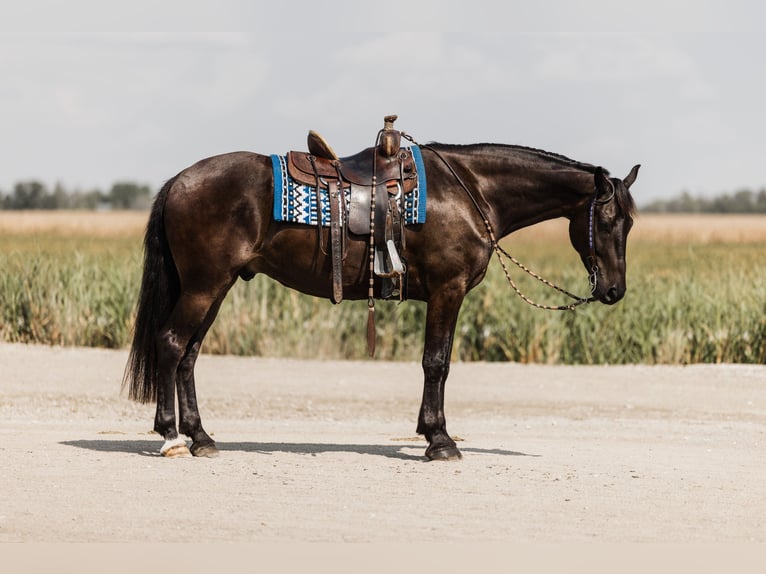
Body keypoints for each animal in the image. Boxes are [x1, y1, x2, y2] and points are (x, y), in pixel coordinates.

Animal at [123, 137, 639, 461]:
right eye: (608, 220)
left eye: (629, 223)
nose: (614, 290)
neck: (470, 191)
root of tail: (179, 181)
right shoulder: (448, 291)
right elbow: (437, 363)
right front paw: (440, 440)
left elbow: (437, 363)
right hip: (204, 285)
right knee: (171, 344)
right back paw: (171, 437)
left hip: (217, 286)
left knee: (188, 355)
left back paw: (201, 436)